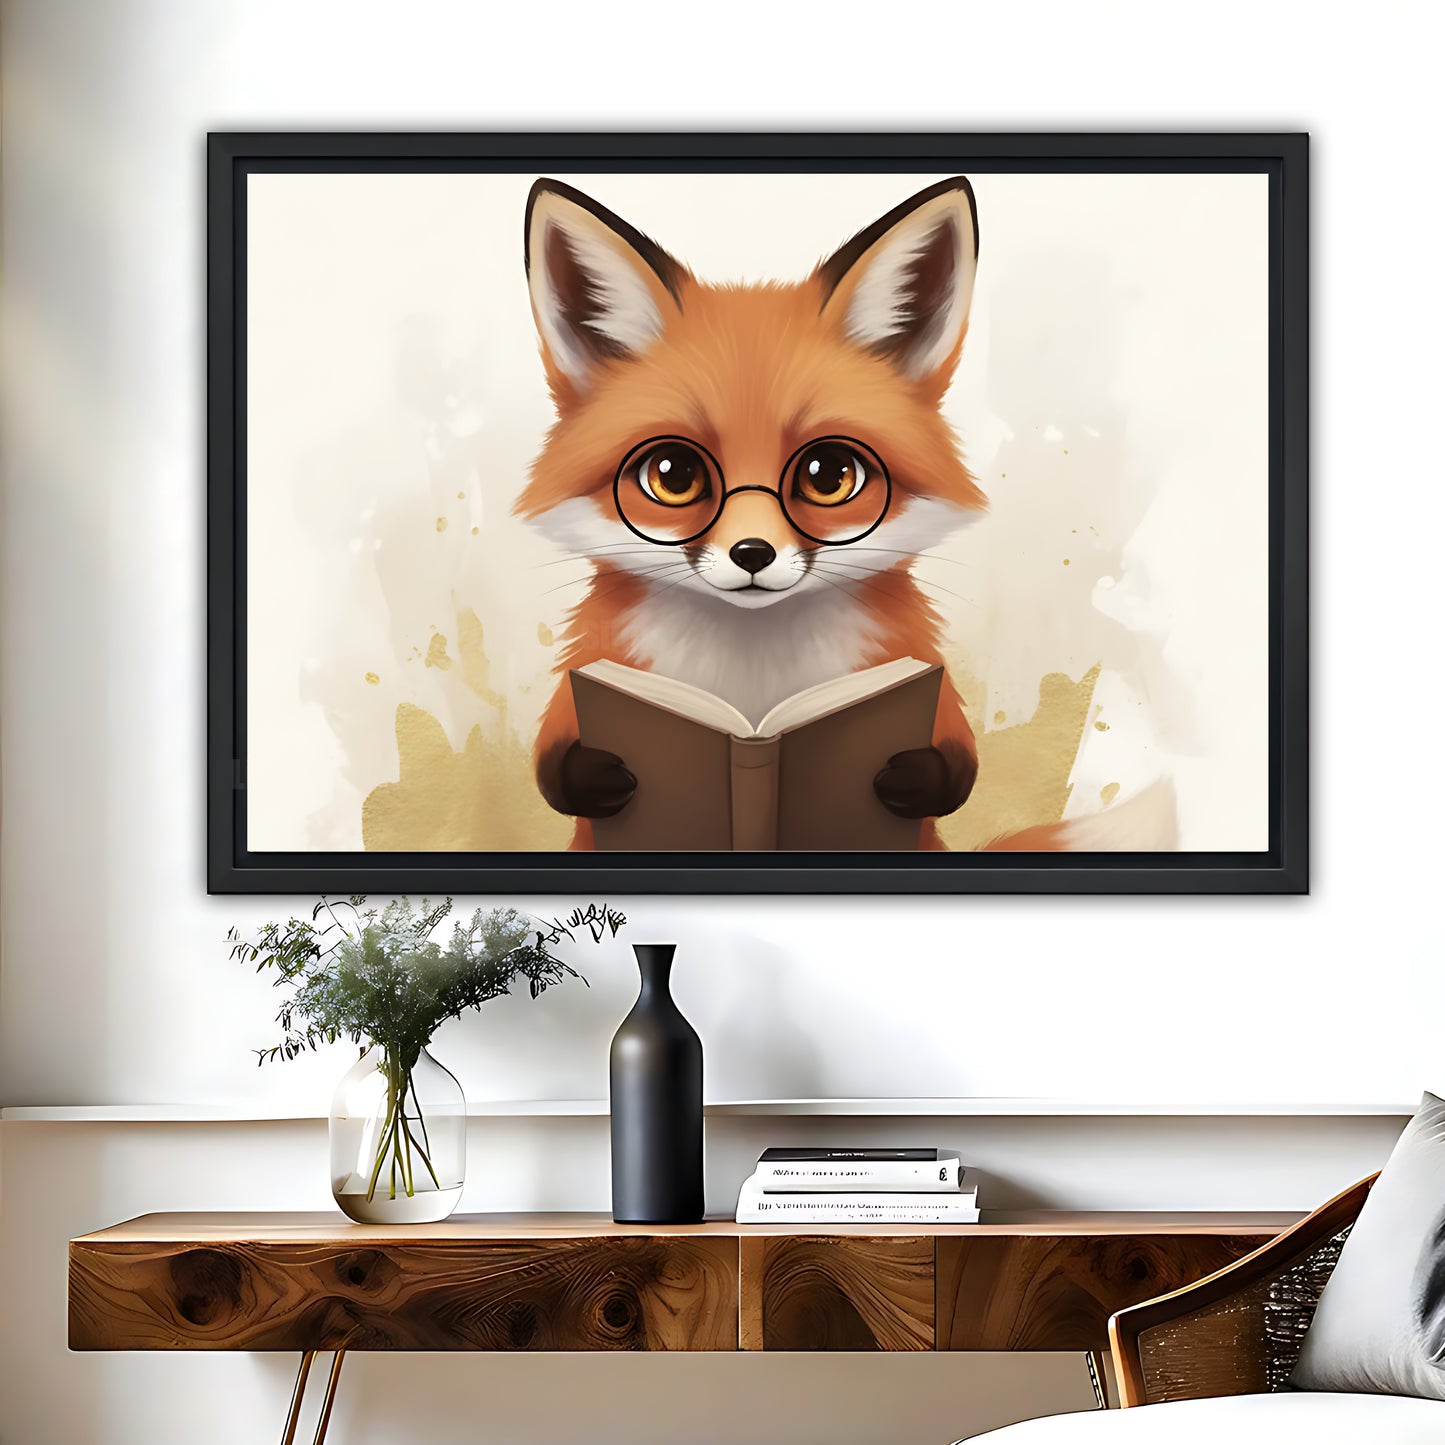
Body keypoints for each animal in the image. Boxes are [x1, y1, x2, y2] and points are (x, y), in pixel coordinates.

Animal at [514, 175, 1174, 852]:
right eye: (672, 474)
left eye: (829, 473)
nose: (752, 554)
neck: (753, 681)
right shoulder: (588, 665)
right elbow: (551, 755)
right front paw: (594, 775)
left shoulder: (918, 666)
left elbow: (958, 759)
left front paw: (915, 777)